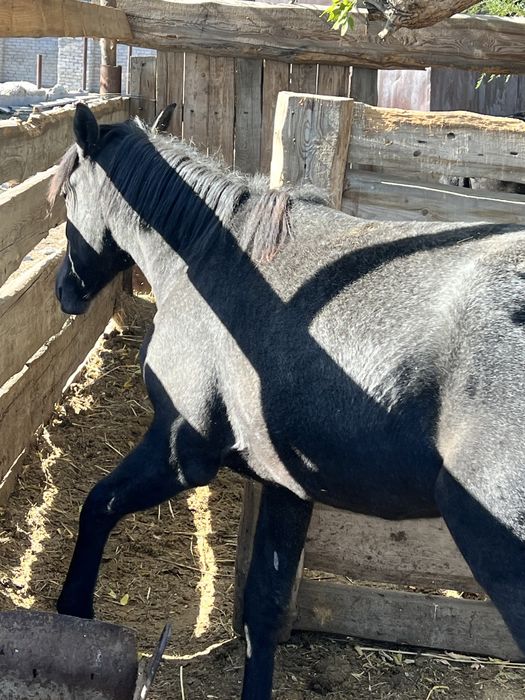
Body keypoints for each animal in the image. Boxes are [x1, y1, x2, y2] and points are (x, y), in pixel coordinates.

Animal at [51, 103, 525, 699]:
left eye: (70, 193)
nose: (64, 290)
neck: (210, 257)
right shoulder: (288, 487)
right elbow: (265, 609)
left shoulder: (180, 452)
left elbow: (98, 506)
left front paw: (73, 609)